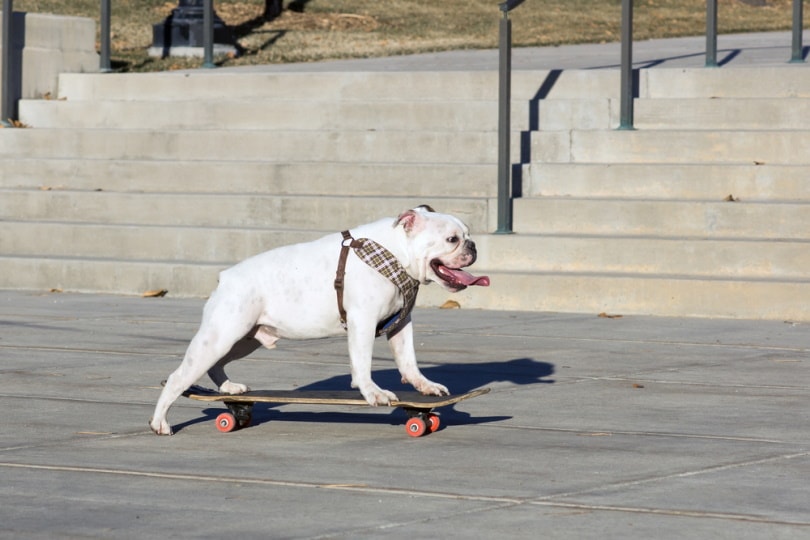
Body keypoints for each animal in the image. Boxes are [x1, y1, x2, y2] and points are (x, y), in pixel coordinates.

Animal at [148, 205, 490, 436]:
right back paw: (160, 422)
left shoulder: (402, 324)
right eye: (452, 239)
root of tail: (225, 277)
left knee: (216, 364)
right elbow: (362, 363)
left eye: (467, 236)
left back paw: (229, 388)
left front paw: (424, 386)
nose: (473, 246)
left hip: (243, 338)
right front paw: (373, 393)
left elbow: (409, 361)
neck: (395, 253)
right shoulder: (363, 321)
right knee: (179, 377)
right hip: (222, 335)